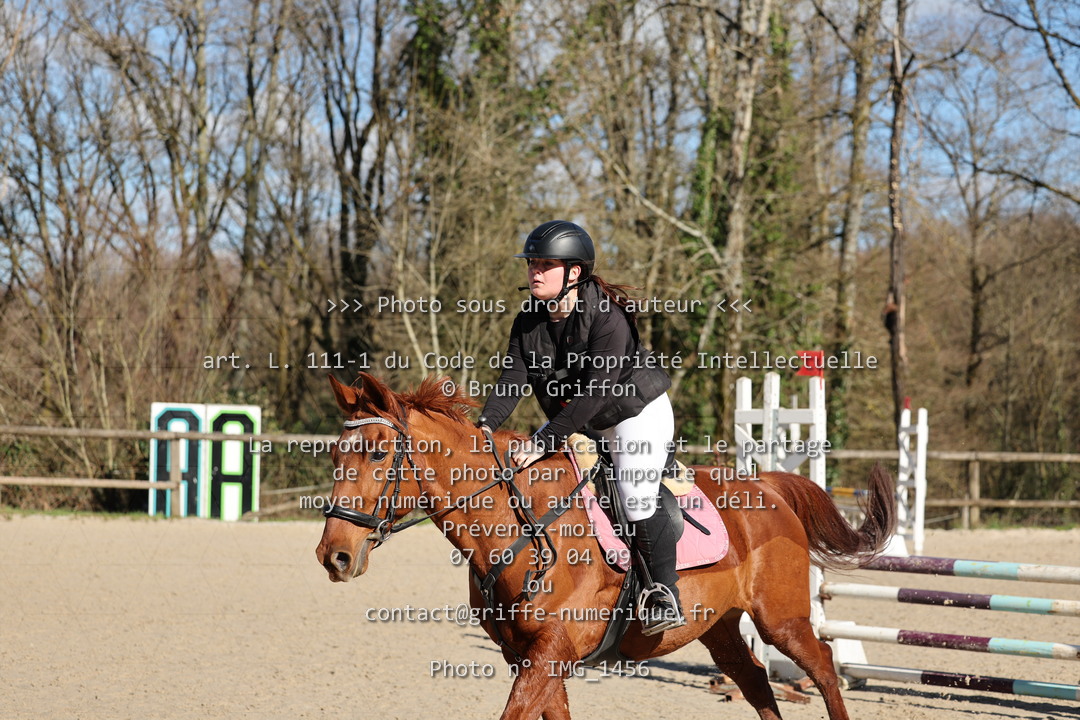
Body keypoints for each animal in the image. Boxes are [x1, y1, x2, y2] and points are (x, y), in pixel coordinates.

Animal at [316, 372, 896, 720]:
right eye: (336, 454)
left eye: (376, 453)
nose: (333, 556)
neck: (517, 525)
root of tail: (767, 486)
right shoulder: (531, 657)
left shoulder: (550, 653)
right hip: (720, 625)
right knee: (754, 680)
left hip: (779, 618)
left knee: (822, 665)